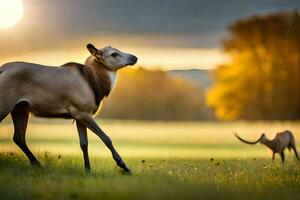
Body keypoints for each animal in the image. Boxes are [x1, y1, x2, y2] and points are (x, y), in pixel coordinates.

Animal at [0, 43, 138, 173]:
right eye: (114, 54)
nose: (134, 57)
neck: (96, 85)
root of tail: (2, 69)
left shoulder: (79, 115)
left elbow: (84, 144)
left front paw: (88, 170)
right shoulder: (83, 112)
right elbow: (106, 138)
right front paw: (124, 166)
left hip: (20, 108)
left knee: (19, 137)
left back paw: (37, 163)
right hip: (6, 103)